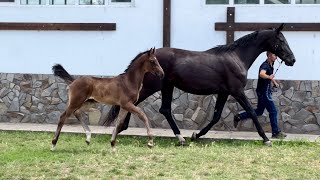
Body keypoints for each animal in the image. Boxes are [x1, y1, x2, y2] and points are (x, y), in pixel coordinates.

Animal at [106, 23, 296, 146]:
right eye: (282, 40)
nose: (292, 60)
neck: (237, 58)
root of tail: (147, 56)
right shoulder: (237, 91)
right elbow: (251, 111)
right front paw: (266, 139)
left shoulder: (224, 92)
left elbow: (216, 116)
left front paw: (196, 135)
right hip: (154, 86)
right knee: (135, 104)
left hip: (167, 86)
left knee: (164, 109)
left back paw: (180, 138)